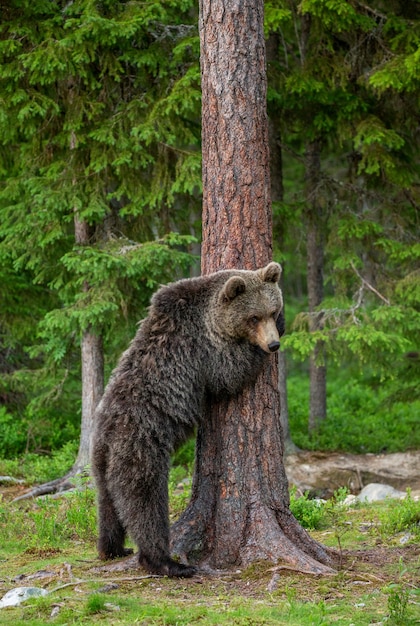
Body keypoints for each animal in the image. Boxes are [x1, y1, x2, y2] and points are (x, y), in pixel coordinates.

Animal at [90, 258, 284, 576]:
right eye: (253, 317)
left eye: (271, 309)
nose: (273, 345)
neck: (208, 314)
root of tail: (107, 436)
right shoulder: (201, 350)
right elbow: (229, 374)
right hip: (141, 447)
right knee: (145, 503)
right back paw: (166, 562)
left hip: (102, 460)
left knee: (107, 505)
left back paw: (113, 548)